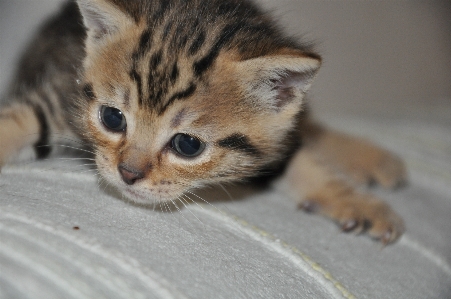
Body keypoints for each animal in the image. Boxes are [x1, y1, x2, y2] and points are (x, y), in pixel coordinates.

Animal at [0, 0, 408, 244]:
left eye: (187, 145)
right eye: (112, 118)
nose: (128, 174)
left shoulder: (268, 143)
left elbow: (299, 160)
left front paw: (356, 202)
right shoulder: (62, 91)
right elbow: (23, 119)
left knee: (306, 126)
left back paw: (372, 160)